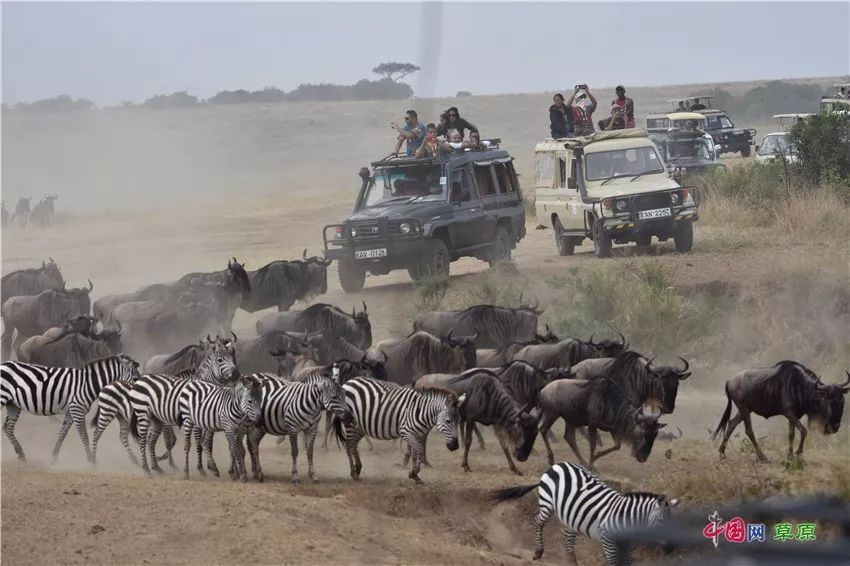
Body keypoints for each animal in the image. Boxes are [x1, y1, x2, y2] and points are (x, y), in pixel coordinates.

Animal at [0, 356, 139, 466]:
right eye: (135, 377)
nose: (137, 393)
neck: (86, 384)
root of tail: (4, 363)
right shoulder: (77, 409)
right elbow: (84, 435)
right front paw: (90, 459)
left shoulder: (70, 412)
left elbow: (62, 434)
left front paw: (54, 457)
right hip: (3, 398)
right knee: (7, 427)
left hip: (13, 405)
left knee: (8, 427)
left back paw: (21, 454)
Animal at [127, 340, 238, 478]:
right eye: (220, 360)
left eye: (232, 358)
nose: (237, 374)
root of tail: (141, 379)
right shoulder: (195, 421)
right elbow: (199, 442)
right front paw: (202, 468)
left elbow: (206, 442)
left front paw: (211, 467)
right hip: (143, 414)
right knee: (143, 440)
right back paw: (146, 469)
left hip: (156, 418)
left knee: (150, 441)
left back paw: (156, 467)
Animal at [332, 380, 464, 486]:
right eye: (448, 421)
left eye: (459, 421)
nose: (455, 446)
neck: (421, 412)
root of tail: (349, 381)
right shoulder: (406, 432)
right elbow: (418, 450)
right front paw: (414, 473)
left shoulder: (418, 434)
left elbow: (416, 451)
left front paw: (415, 475)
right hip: (350, 422)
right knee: (349, 444)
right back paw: (353, 472)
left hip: (361, 426)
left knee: (353, 443)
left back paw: (358, 468)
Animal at [490, 464, 676, 564]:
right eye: (661, 521)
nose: (671, 549)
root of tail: (557, 464)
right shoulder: (608, 540)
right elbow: (614, 562)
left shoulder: (626, 544)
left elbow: (626, 562)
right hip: (547, 504)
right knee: (538, 523)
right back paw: (538, 552)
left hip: (572, 515)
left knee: (567, 535)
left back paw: (572, 561)